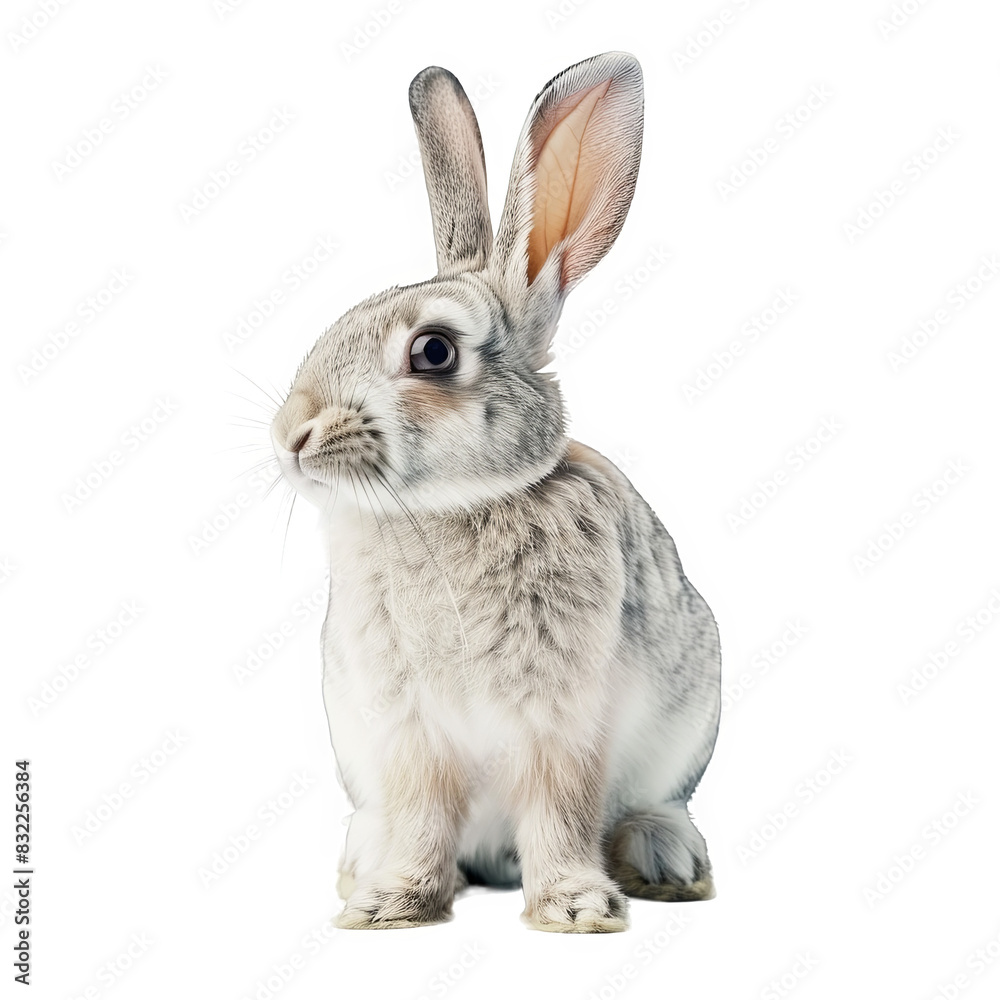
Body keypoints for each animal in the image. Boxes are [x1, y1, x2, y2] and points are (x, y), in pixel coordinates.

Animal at [270, 51, 721, 933]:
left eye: (434, 352)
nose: (291, 431)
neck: (453, 508)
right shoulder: (405, 729)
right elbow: (419, 817)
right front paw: (388, 905)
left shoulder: (562, 715)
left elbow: (561, 808)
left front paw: (576, 910)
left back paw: (665, 858)